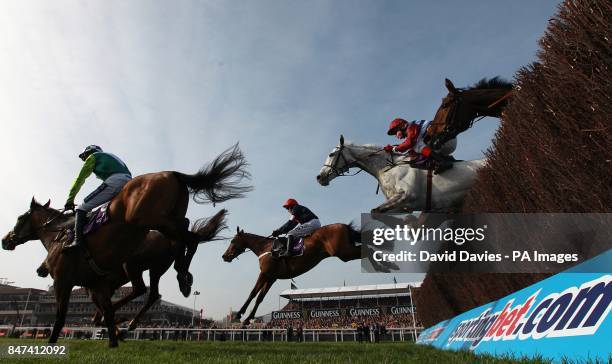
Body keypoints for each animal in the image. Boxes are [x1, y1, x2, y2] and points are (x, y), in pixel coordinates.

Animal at [222, 225, 394, 324]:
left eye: (232, 241)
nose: (224, 256)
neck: (265, 247)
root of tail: (343, 225)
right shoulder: (272, 277)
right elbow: (259, 297)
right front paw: (247, 319)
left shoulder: (265, 273)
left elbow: (252, 293)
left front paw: (239, 315)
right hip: (346, 251)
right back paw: (385, 263)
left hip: (344, 252)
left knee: (365, 250)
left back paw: (385, 263)